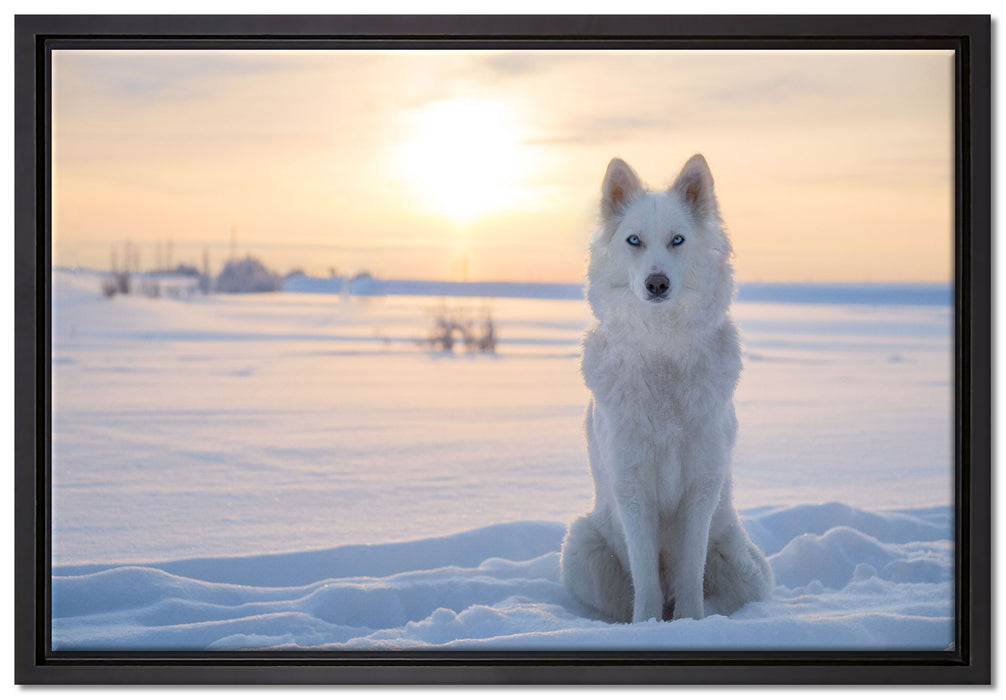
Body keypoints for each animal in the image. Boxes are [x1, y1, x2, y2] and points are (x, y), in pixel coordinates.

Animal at [559, 155, 773, 623]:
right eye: (633, 241)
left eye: (677, 240)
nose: (656, 283)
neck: (663, 353)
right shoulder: (632, 487)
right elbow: (646, 578)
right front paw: (648, 626)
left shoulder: (702, 485)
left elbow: (691, 571)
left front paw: (690, 623)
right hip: (581, 547)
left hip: (746, 567)